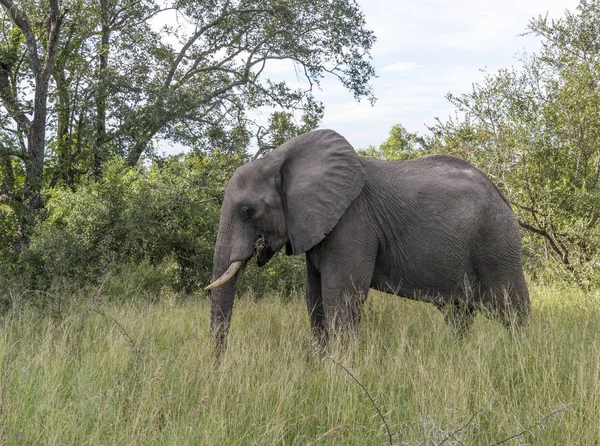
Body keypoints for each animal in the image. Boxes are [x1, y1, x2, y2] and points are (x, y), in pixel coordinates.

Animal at [206, 128, 528, 352]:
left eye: (247, 212)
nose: (217, 367)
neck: (279, 160)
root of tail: (502, 195)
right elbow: (314, 299)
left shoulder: (353, 221)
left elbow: (341, 298)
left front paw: (339, 373)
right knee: (458, 314)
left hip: (496, 242)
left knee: (512, 310)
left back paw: (519, 356)